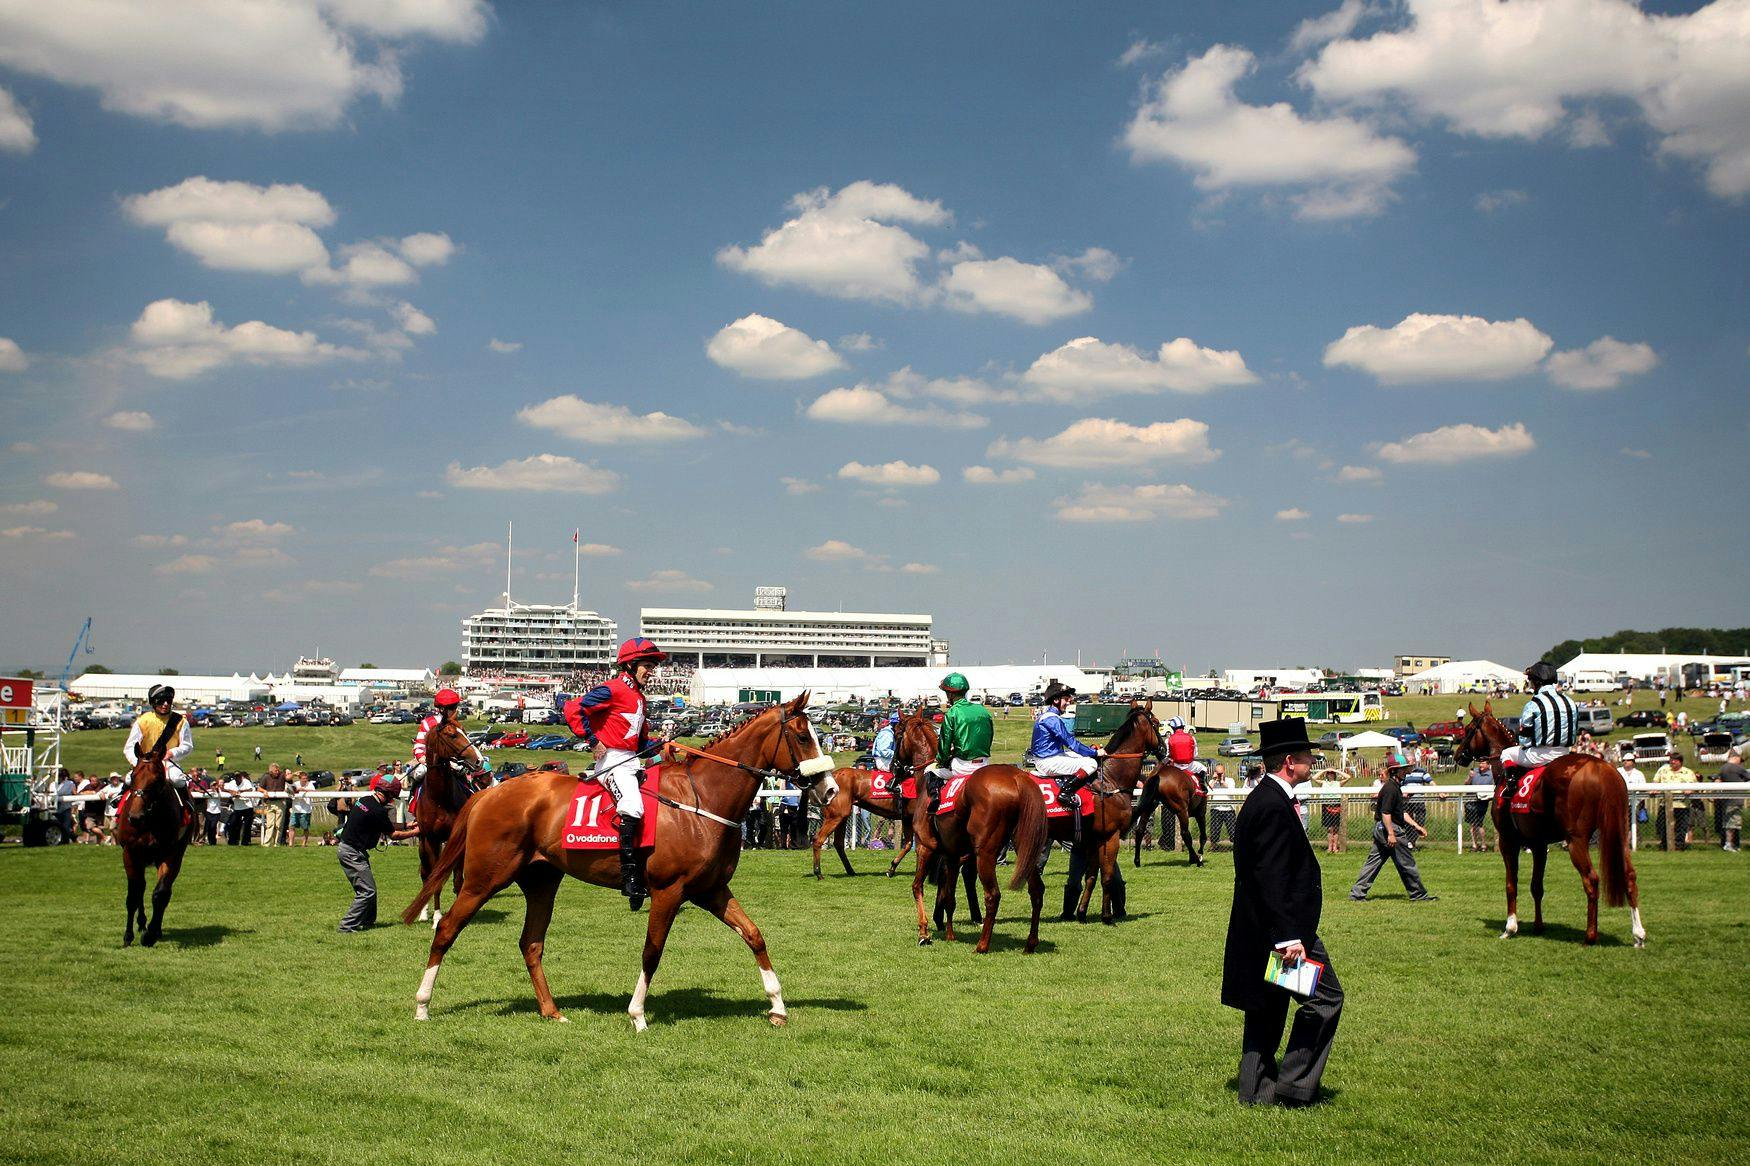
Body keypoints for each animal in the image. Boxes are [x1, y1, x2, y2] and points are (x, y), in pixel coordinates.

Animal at [113, 707, 197, 945]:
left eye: (158, 778)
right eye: (134, 776)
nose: (135, 817)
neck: (149, 820)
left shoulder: (170, 853)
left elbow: (160, 893)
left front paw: (150, 933)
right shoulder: (130, 853)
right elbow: (134, 894)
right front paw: (129, 935)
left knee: (163, 890)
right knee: (139, 888)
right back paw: (141, 924)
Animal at [411, 717, 486, 924]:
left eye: (465, 731)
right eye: (452, 735)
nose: (479, 760)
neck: (439, 798)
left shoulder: (457, 838)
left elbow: (458, 879)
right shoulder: (431, 839)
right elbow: (433, 878)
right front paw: (437, 917)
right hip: (423, 843)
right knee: (425, 874)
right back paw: (423, 913)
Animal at [896, 714, 1043, 952]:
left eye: (896, 734)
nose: (894, 766)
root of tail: (1018, 778)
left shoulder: (926, 847)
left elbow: (917, 886)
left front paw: (924, 932)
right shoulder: (952, 854)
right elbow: (949, 896)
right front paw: (949, 935)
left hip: (985, 853)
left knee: (993, 895)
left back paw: (982, 945)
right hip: (1026, 847)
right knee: (1037, 891)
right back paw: (1030, 943)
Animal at [1456, 700, 1645, 945]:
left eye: (1469, 729)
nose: (1458, 755)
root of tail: (1603, 768)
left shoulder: (1508, 840)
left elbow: (1511, 883)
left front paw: (1510, 928)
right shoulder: (1539, 844)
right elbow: (1537, 886)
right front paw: (1538, 926)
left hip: (1576, 840)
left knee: (1591, 879)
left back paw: (1590, 935)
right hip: (1619, 832)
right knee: (1629, 876)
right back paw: (1638, 934)